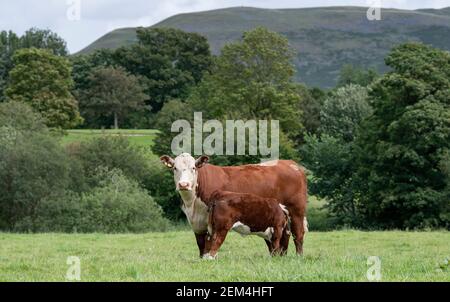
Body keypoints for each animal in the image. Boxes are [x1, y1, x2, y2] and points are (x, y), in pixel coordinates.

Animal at [160, 153, 308, 258]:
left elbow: (210, 243)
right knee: (285, 236)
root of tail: (290, 164)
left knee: (298, 234)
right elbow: (201, 245)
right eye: (175, 168)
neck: (193, 205)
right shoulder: (197, 224)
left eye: (193, 168)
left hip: (296, 211)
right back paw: (282, 257)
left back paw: (298, 256)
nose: (183, 184)